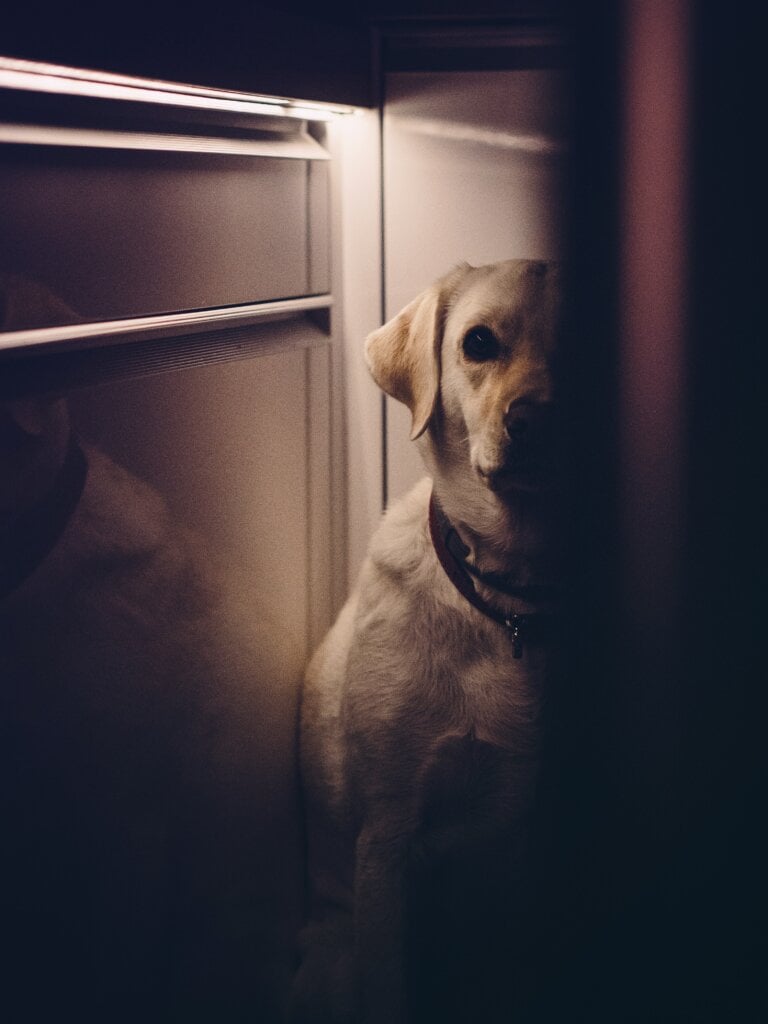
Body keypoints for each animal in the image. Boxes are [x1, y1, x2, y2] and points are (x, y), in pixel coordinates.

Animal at [290, 260, 561, 1024]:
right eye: (479, 342)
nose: (534, 421)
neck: (505, 603)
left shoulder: (525, 844)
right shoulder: (386, 837)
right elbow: (388, 985)